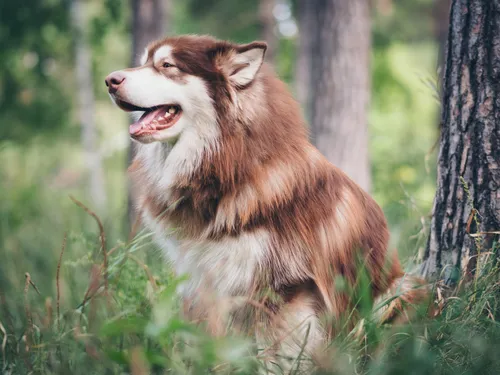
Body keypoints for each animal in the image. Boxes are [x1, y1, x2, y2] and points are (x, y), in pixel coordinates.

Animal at [106, 33, 426, 368]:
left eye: (167, 65)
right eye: (143, 62)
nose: (109, 80)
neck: (227, 170)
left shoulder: (284, 289)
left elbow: (275, 355)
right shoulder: (203, 282)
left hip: (398, 293)